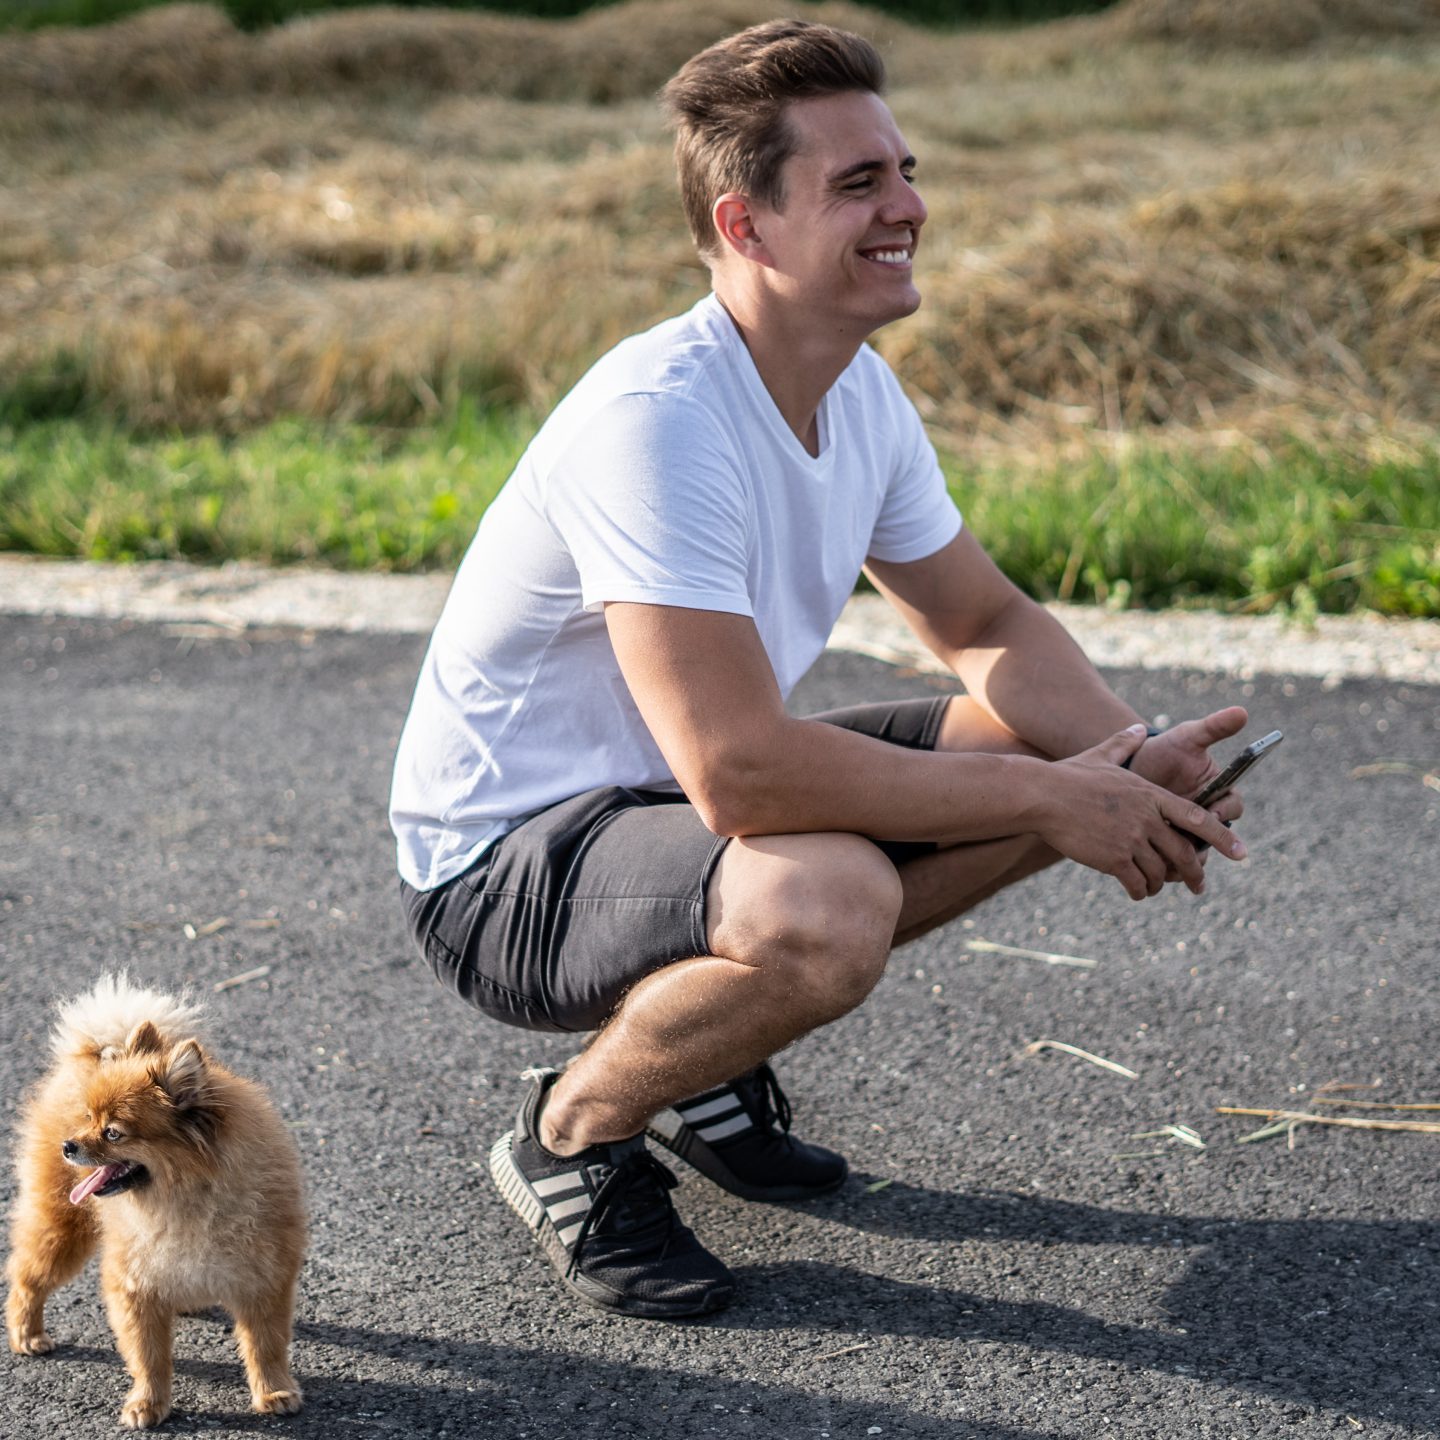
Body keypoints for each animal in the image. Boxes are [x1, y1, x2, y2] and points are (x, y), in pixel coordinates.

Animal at [5, 974, 305, 1429]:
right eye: (88, 1118)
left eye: (113, 1132)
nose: (69, 1145)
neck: (185, 1199)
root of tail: (95, 1051)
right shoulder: (134, 1285)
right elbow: (149, 1354)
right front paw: (148, 1403)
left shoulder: (263, 1278)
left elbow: (265, 1344)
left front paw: (274, 1391)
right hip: (61, 1225)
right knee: (26, 1275)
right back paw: (27, 1334)